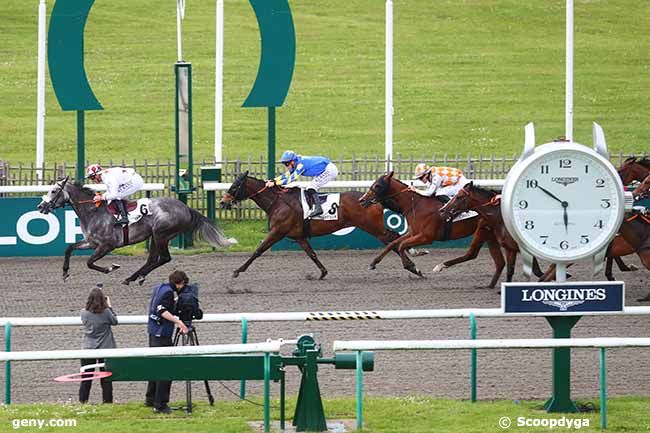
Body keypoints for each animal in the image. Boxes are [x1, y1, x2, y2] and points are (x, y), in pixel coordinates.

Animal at [37, 176, 235, 284]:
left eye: (54, 191)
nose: (41, 206)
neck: (94, 211)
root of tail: (186, 207)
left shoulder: (107, 245)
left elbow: (89, 263)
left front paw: (111, 267)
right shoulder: (91, 242)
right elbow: (69, 248)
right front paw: (64, 272)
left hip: (161, 234)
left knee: (164, 258)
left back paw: (133, 277)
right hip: (155, 236)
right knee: (153, 259)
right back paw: (135, 277)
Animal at [218, 170, 416, 278]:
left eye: (234, 186)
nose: (222, 202)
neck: (278, 201)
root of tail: (372, 200)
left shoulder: (277, 231)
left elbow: (258, 251)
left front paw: (237, 270)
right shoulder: (299, 236)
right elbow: (311, 254)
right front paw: (323, 272)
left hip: (372, 227)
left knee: (392, 239)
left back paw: (412, 265)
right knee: (394, 239)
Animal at [354, 170, 506, 286]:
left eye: (377, 186)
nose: (361, 200)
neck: (416, 205)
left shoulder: (427, 237)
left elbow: (402, 245)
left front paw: (414, 267)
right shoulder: (414, 232)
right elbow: (393, 243)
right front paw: (373, 263)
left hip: (483, 229)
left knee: (472, 253)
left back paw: (441, 266)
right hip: (490, 231)